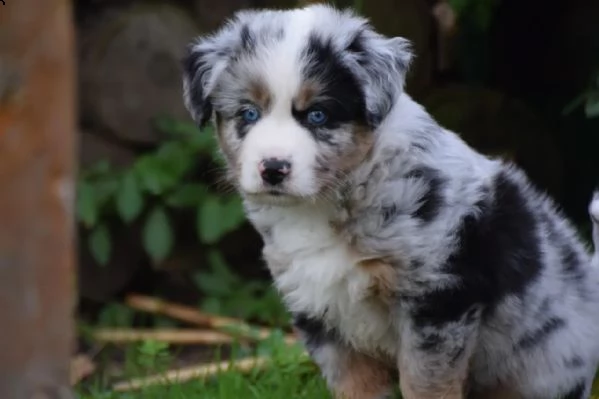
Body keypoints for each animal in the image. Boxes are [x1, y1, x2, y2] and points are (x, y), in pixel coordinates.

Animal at [180, 3, 599, 399]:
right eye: (248, 113)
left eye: (318, 115)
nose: (273, 168)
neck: (332, 199)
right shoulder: (318, 310)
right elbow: (354, 386)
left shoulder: (436, 300)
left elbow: (426, 384)